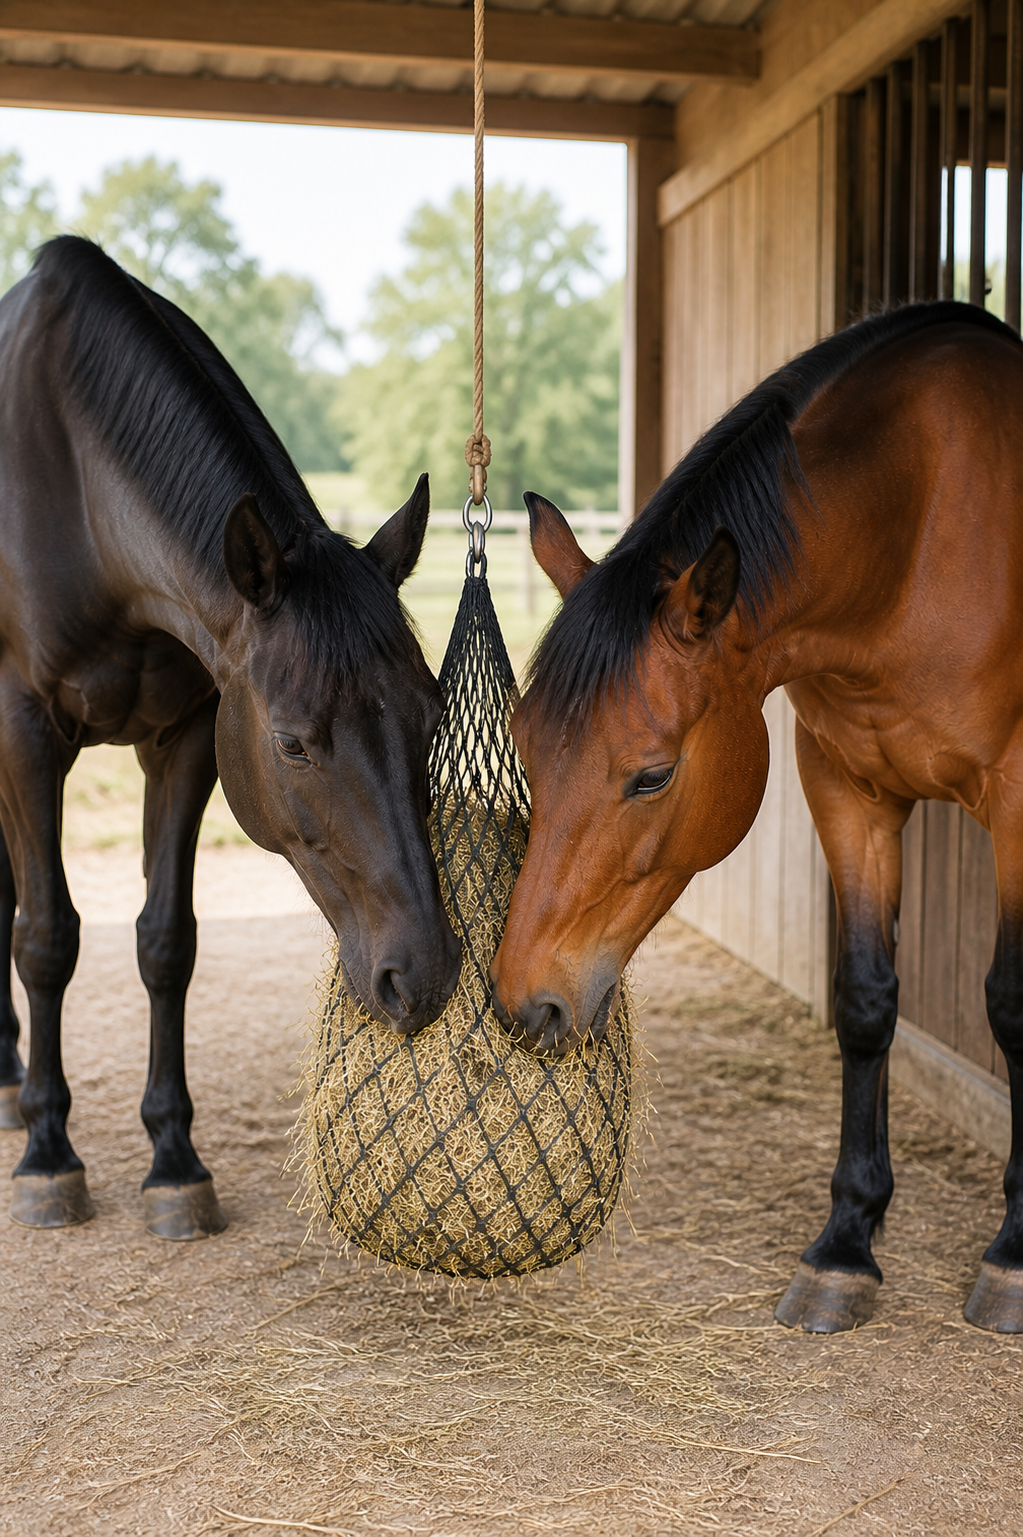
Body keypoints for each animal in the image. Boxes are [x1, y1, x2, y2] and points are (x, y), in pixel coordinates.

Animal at [0, 236, 460, 1240]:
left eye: (430, 711)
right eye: (291, 743)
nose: (424, 976)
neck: (73, 488)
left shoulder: (184, 740)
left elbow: (166, 942)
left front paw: (174, 1162)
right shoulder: (26, 735)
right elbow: (47, 935)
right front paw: (51, 1156)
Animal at [491, 299, 1023, 1336]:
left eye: (651, 776)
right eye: (526, 748)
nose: (523, 999)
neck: (918, 529)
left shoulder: (1019, 797)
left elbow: (1014, 1006)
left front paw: (1016, 1250)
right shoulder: (845, 787)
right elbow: (863, 1000)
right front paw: (845, 1245)